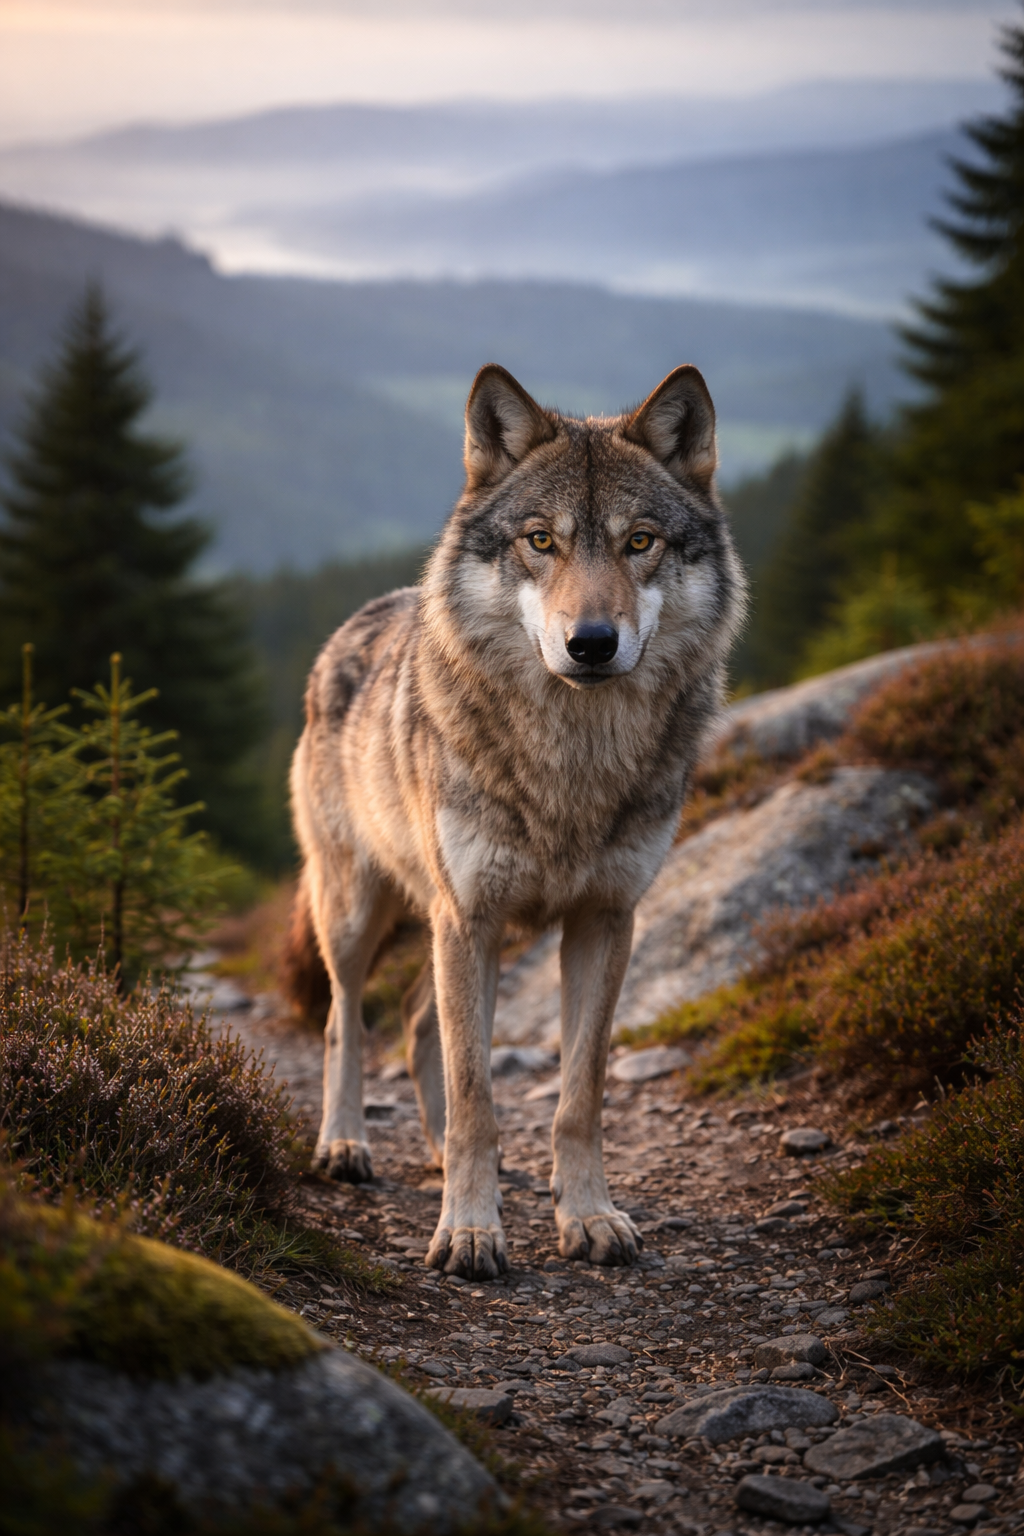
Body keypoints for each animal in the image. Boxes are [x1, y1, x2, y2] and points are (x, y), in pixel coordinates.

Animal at [290, 363, 745, 1279]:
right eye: (541, 541)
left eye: (640, 542)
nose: (592, 642)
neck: (571, 763)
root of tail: (358, 620)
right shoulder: (471, 916)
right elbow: (477, 1094)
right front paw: (469, 1231)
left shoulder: (603, 920)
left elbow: (578, 1096)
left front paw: (589, 1216)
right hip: (361, 913)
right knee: (344, 1021)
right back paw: (346, 1146)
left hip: (462, 928)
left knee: (419, 1024)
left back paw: (434, 1156)